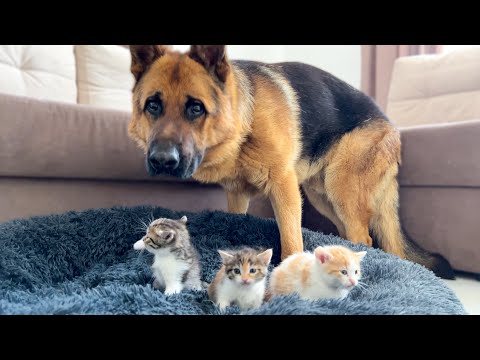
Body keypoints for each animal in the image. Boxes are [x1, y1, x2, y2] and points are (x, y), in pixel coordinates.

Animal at [126, 45, 454, 280]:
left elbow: (291, 239)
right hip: (323, 197)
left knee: (365, 237)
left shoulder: (283, 187)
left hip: (341, 189)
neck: (245, 123)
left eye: (196, 108)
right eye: (153, 106)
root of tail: (391, 125)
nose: (162, 161)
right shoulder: (237, 194)